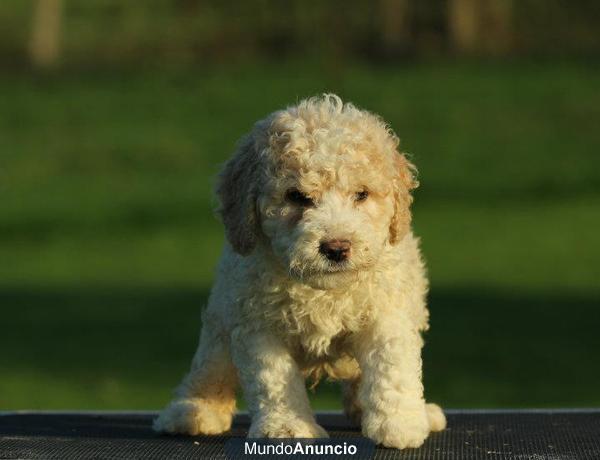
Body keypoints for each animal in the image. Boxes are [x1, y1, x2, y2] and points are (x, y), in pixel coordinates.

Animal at [155, 94, 446, 450]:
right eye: (296, 196)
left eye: (362, 194)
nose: (336, 247)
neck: (323, 290)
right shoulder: (257, 323)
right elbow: (274, 378)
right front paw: (287, 428)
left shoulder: (386, 311)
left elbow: (391, 365)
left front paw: (399, 423)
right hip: (220, 320)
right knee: (211, 364)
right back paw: (192, 410)